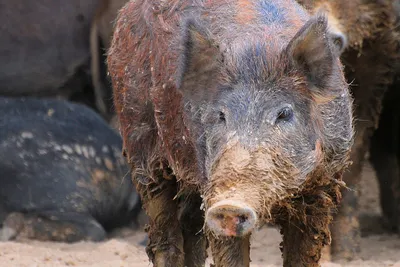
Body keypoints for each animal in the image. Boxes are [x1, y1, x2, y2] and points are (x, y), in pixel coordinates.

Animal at [108, 1, 354, 266]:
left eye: (284, 113)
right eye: (221, 115)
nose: (230, 204)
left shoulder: (323, 188)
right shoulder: (212, 191)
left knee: (190, 227)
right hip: (140, 144)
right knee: (163, 235)